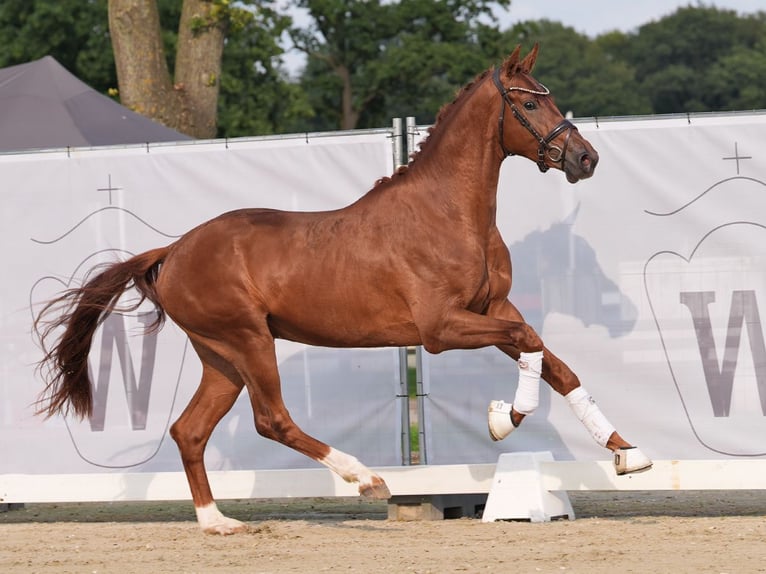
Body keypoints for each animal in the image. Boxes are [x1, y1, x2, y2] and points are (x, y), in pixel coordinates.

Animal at [33, 45, 652, 536]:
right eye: (527, 103)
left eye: (550, 97)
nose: (586, 158)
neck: (450, 212)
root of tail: (172, 251)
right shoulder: (441, 328)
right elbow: (529, 344)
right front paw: (506, 418)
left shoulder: (490, 308)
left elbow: (554, 362)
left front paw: (627, 453)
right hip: (248, 341)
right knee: (271, 420)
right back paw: (366, 478)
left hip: (221, 357)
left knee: (189, 431)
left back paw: (218, 523)